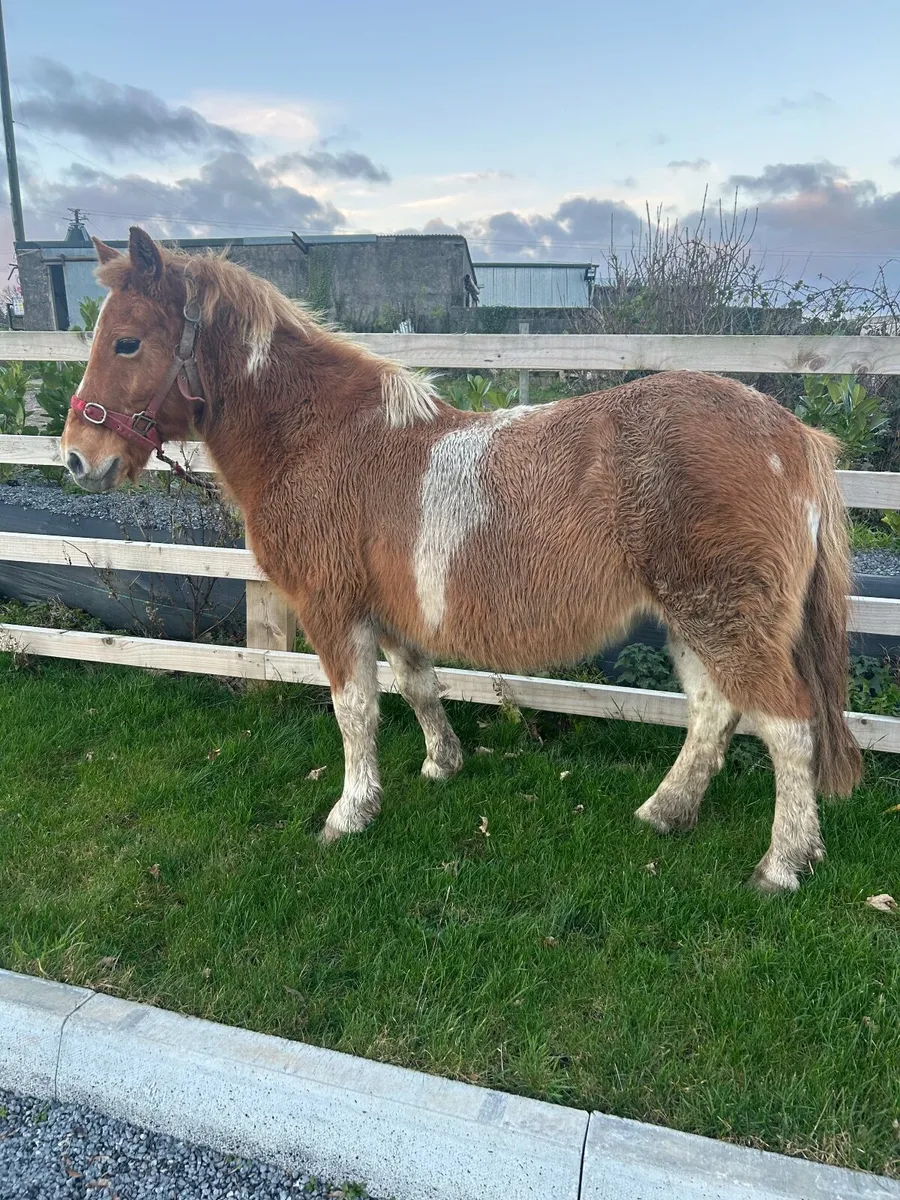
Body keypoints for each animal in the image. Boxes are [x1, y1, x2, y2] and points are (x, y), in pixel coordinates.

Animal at [61, 227, 862, 892]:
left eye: (127, 342)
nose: (76, 456)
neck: (321, 438)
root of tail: (795, 437)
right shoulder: (392, 614)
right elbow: (419, 686)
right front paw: (441, 764)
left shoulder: (332, 610)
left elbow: (355, 709)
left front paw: (351, 812)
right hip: (693, 619)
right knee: (714, 712)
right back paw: (666, 812)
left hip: (724, 618)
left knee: (788, 726)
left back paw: (782, 865)